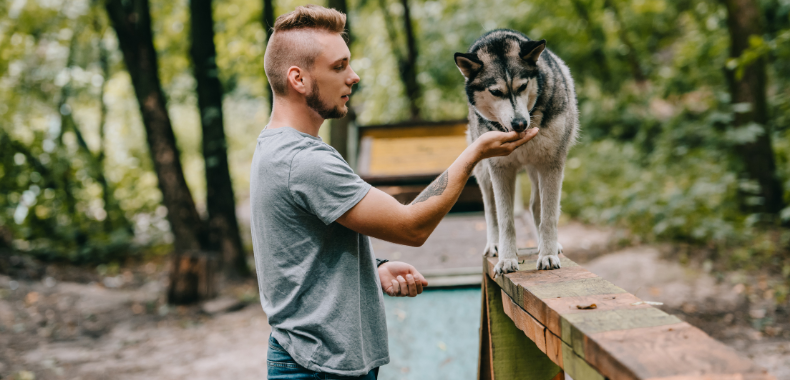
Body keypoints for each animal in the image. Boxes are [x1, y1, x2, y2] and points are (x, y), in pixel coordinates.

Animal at [454, 29, 580, 274]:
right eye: (495, 92)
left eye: (522, 87)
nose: (520, 124)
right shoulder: (500, 170)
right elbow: (505, 220)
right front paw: (507, 259)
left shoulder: (552, 164)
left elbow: (549, 215)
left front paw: (548, 254)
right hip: (484, 173)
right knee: (491, 210)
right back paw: (494, 245)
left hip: (537, 169)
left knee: (536, 206)